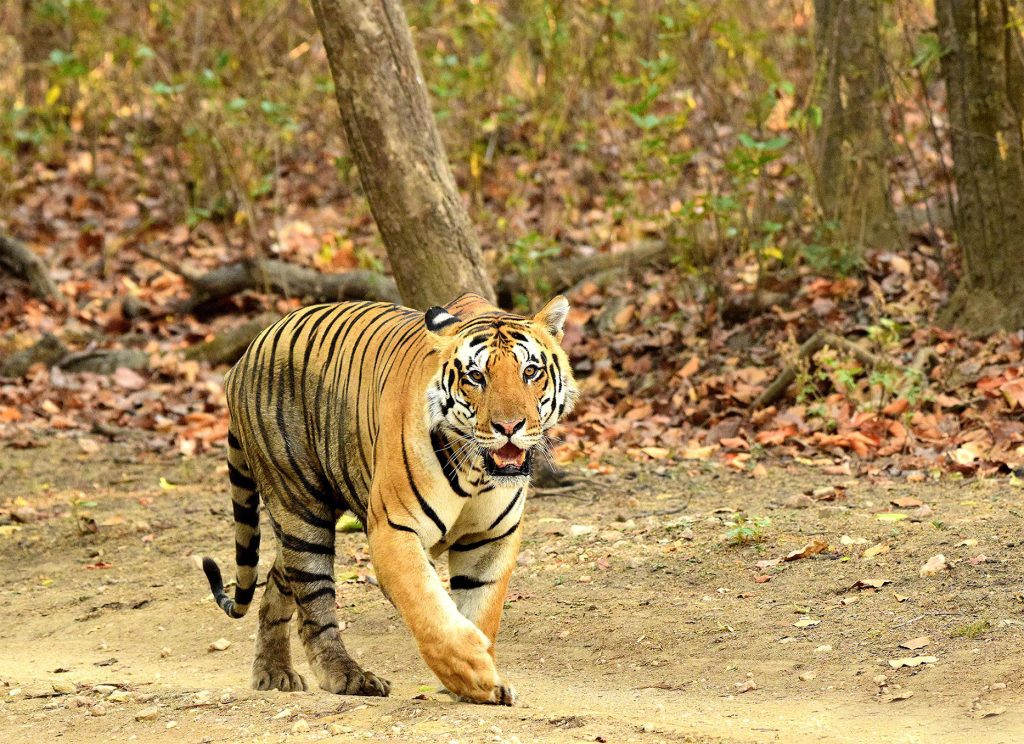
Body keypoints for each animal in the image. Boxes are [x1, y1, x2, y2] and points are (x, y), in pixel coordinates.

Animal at [201, 290, 577, 704]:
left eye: (530, 372)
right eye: (476, 377)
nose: (508, 427)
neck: (477, 472)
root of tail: (243, 357)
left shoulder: (492, 539)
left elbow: (481, 611)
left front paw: (482, 684)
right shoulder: (394, 530)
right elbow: (429, 609)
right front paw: (471, 670)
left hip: (299, 521)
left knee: (276, 584)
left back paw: (273, 672)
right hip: (300, 508)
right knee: (315, 603)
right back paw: (348, 676)